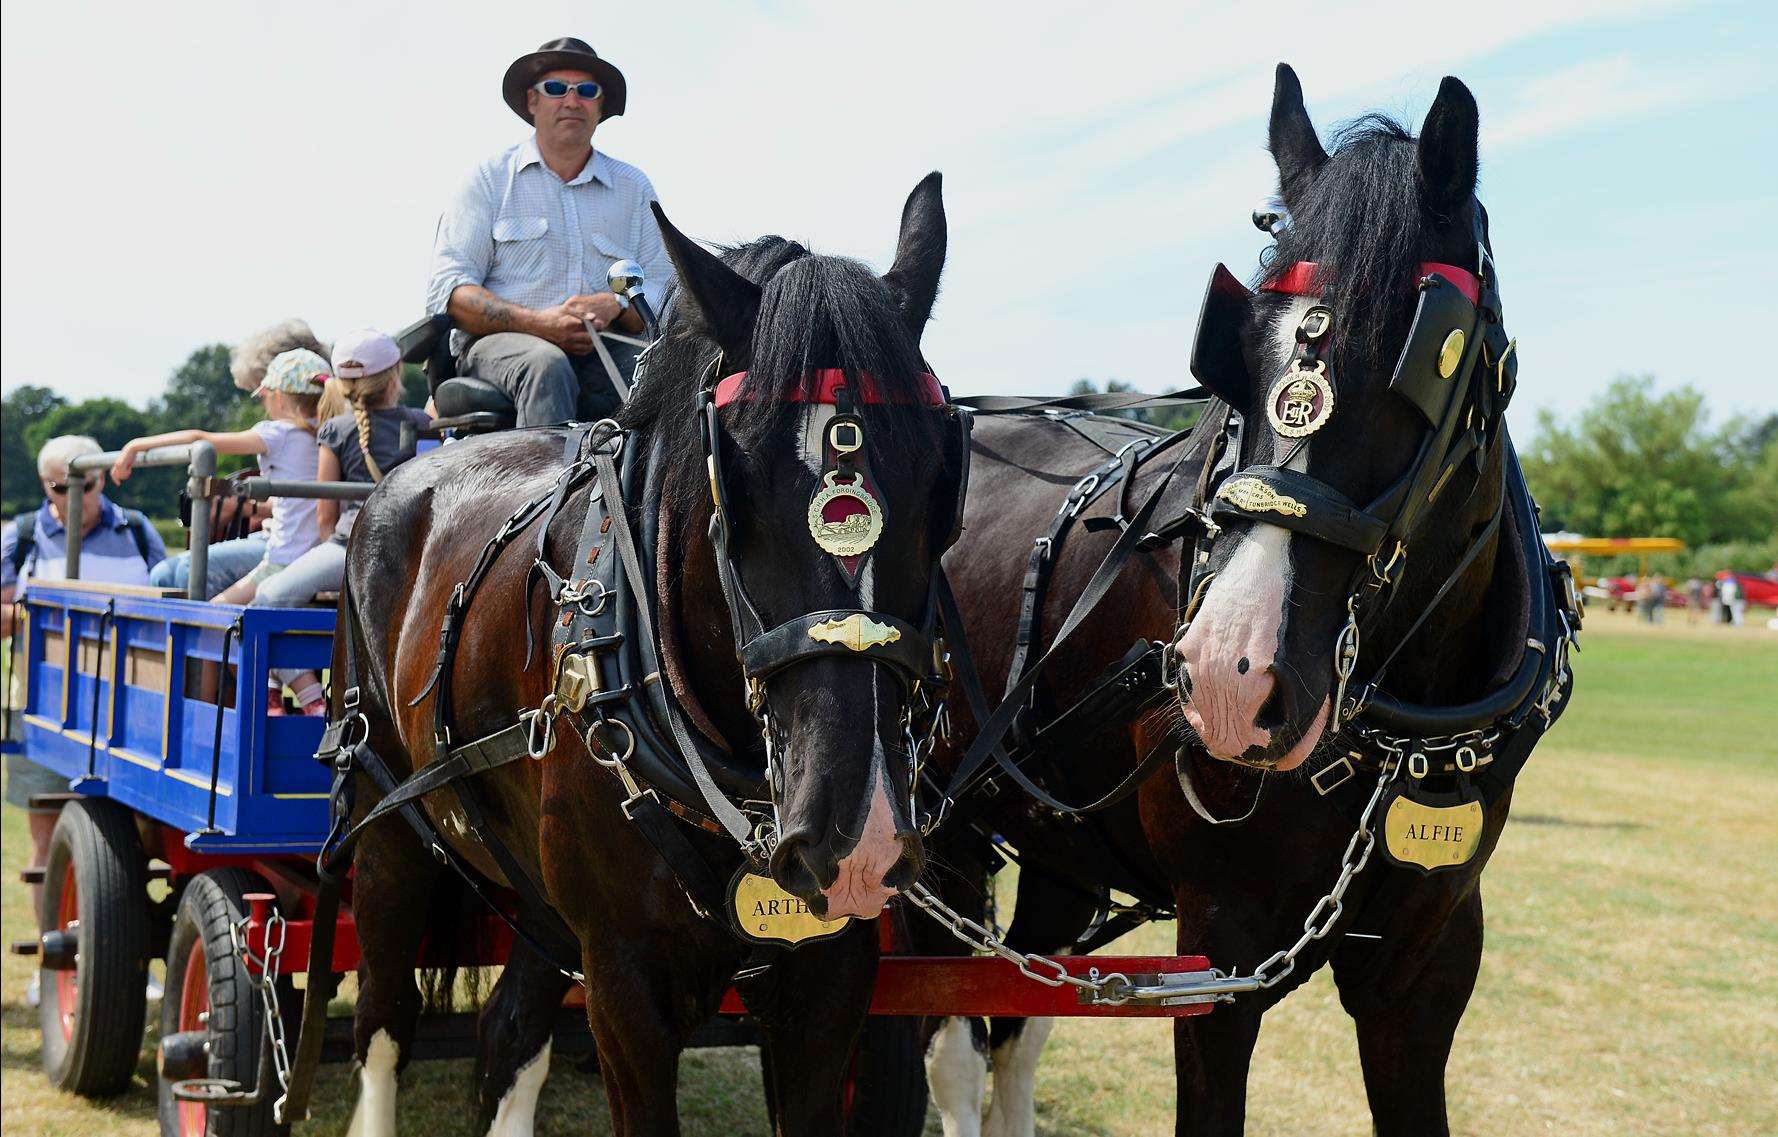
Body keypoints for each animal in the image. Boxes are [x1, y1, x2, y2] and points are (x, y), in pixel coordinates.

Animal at [334, 173, 974, 1131]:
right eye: (733, 480)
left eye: (943, 475)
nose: (855, 832)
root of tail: (399, 481)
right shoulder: (623, 978)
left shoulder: (832, 977)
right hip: (389, 825)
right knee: (384, 1018)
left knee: (508, 1032)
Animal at [924, 66, 1578, 1131]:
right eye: (1238, 350)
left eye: (1429, 352)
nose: (1232, 674)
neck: (1398, 734)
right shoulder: (1218, 958)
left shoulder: (1429, 967)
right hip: (940, 832)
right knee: (955, 1051)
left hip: (1058, 847)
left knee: (1017, 1025)